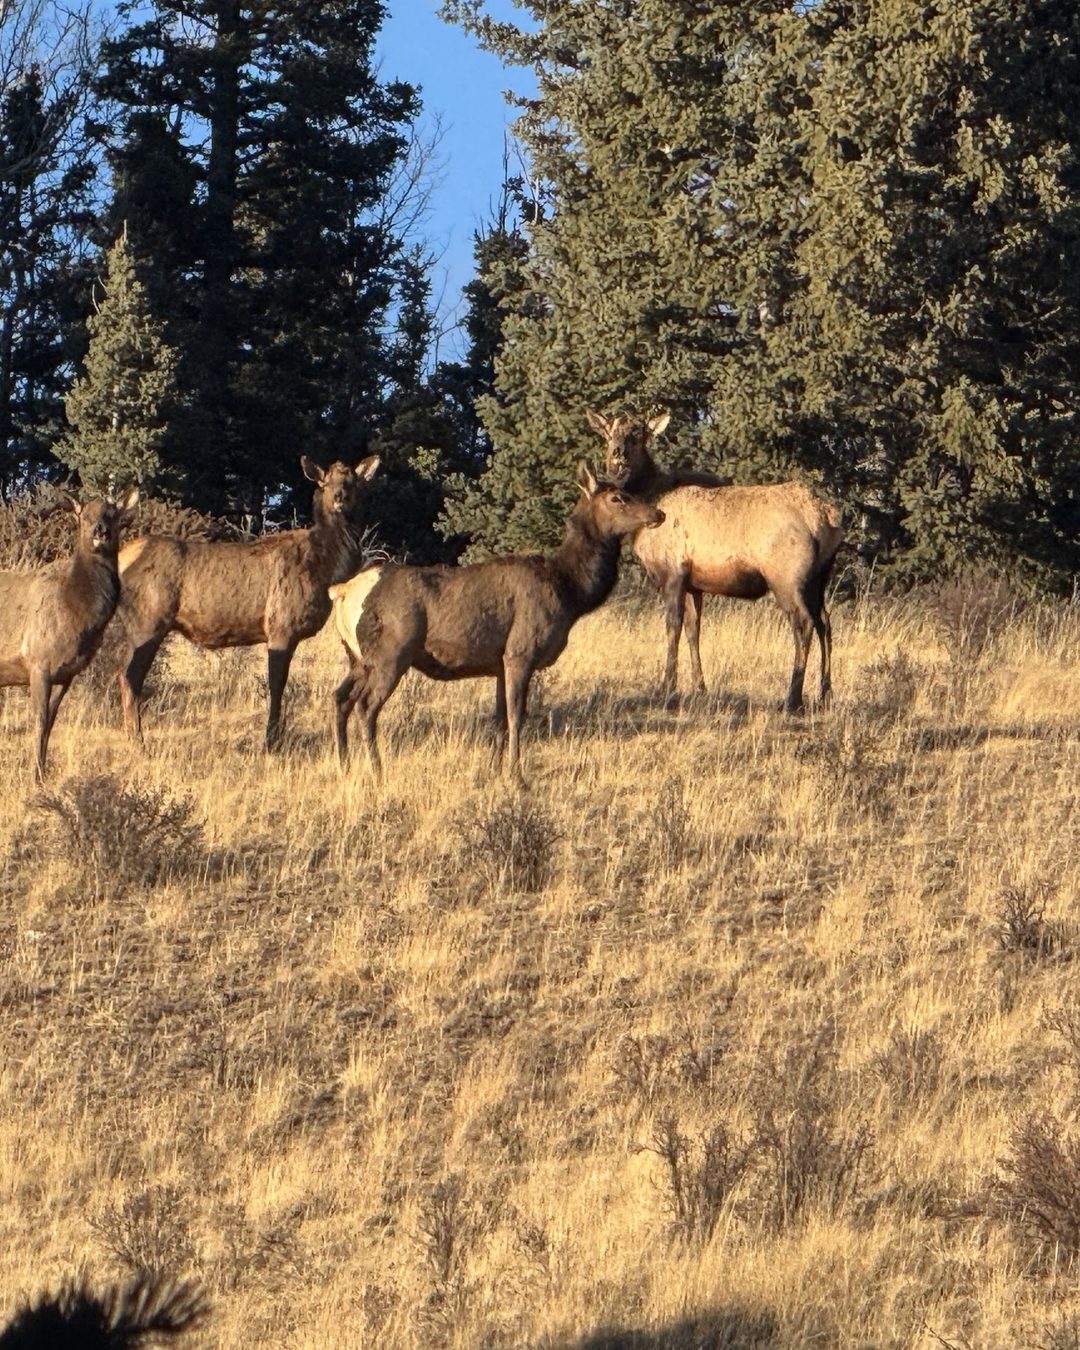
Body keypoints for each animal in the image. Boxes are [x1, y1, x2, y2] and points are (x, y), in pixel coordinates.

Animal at [0, 489, 138, 780]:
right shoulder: (38, 663)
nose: (100, 530)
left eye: (112, 514)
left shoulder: (67, 675)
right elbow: (40, 720)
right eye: (83, 516)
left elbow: (51, 722)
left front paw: (42, 770)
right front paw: (35, 775)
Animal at [115, 456, 379, 749]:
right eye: (325, 481)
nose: (339, 497)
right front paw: (271, 741)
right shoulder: (280, 627)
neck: (327, 569)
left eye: (352, 481)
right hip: (148, 622)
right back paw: (137, 741)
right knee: (129, 676)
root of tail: (122, 557)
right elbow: (277, 685)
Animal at [332, 462, 664, 779]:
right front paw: (517, 777)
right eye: (618, 498)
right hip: (391, 653)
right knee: (365, 706)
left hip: (357, 657)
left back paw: (345, 766)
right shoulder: (520, 651)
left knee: (339, 698)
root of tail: (343, 592)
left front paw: (493, 772)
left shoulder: (499, 662)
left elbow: (500, 720)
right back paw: (377, 773)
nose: (658, 513)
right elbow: (517, 717)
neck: (571, 590)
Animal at [587, 410, 844, 712]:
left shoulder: (673, 573)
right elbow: (693, 629)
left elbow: (672, 626)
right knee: (825, 622)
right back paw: (824, 693)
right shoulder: (694, 584)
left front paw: (666, 688)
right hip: (819, 576)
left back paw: (792, 698)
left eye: (638, 436)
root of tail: (826, 517)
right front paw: (700, 688)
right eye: (608, 434)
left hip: (787, 577)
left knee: (803, 623)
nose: (618, 455)